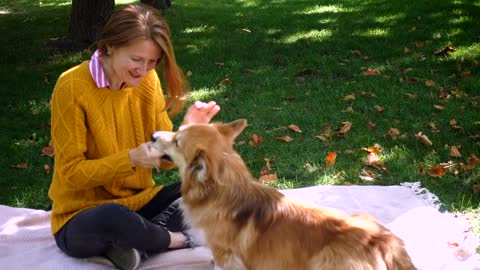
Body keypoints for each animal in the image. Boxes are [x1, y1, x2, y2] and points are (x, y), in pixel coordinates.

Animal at [153, 120, 416, 270]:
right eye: (176, 132)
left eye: (177, 142)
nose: (153, 136)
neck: (221, 194)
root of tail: (386, 245)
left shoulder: (224, 254)